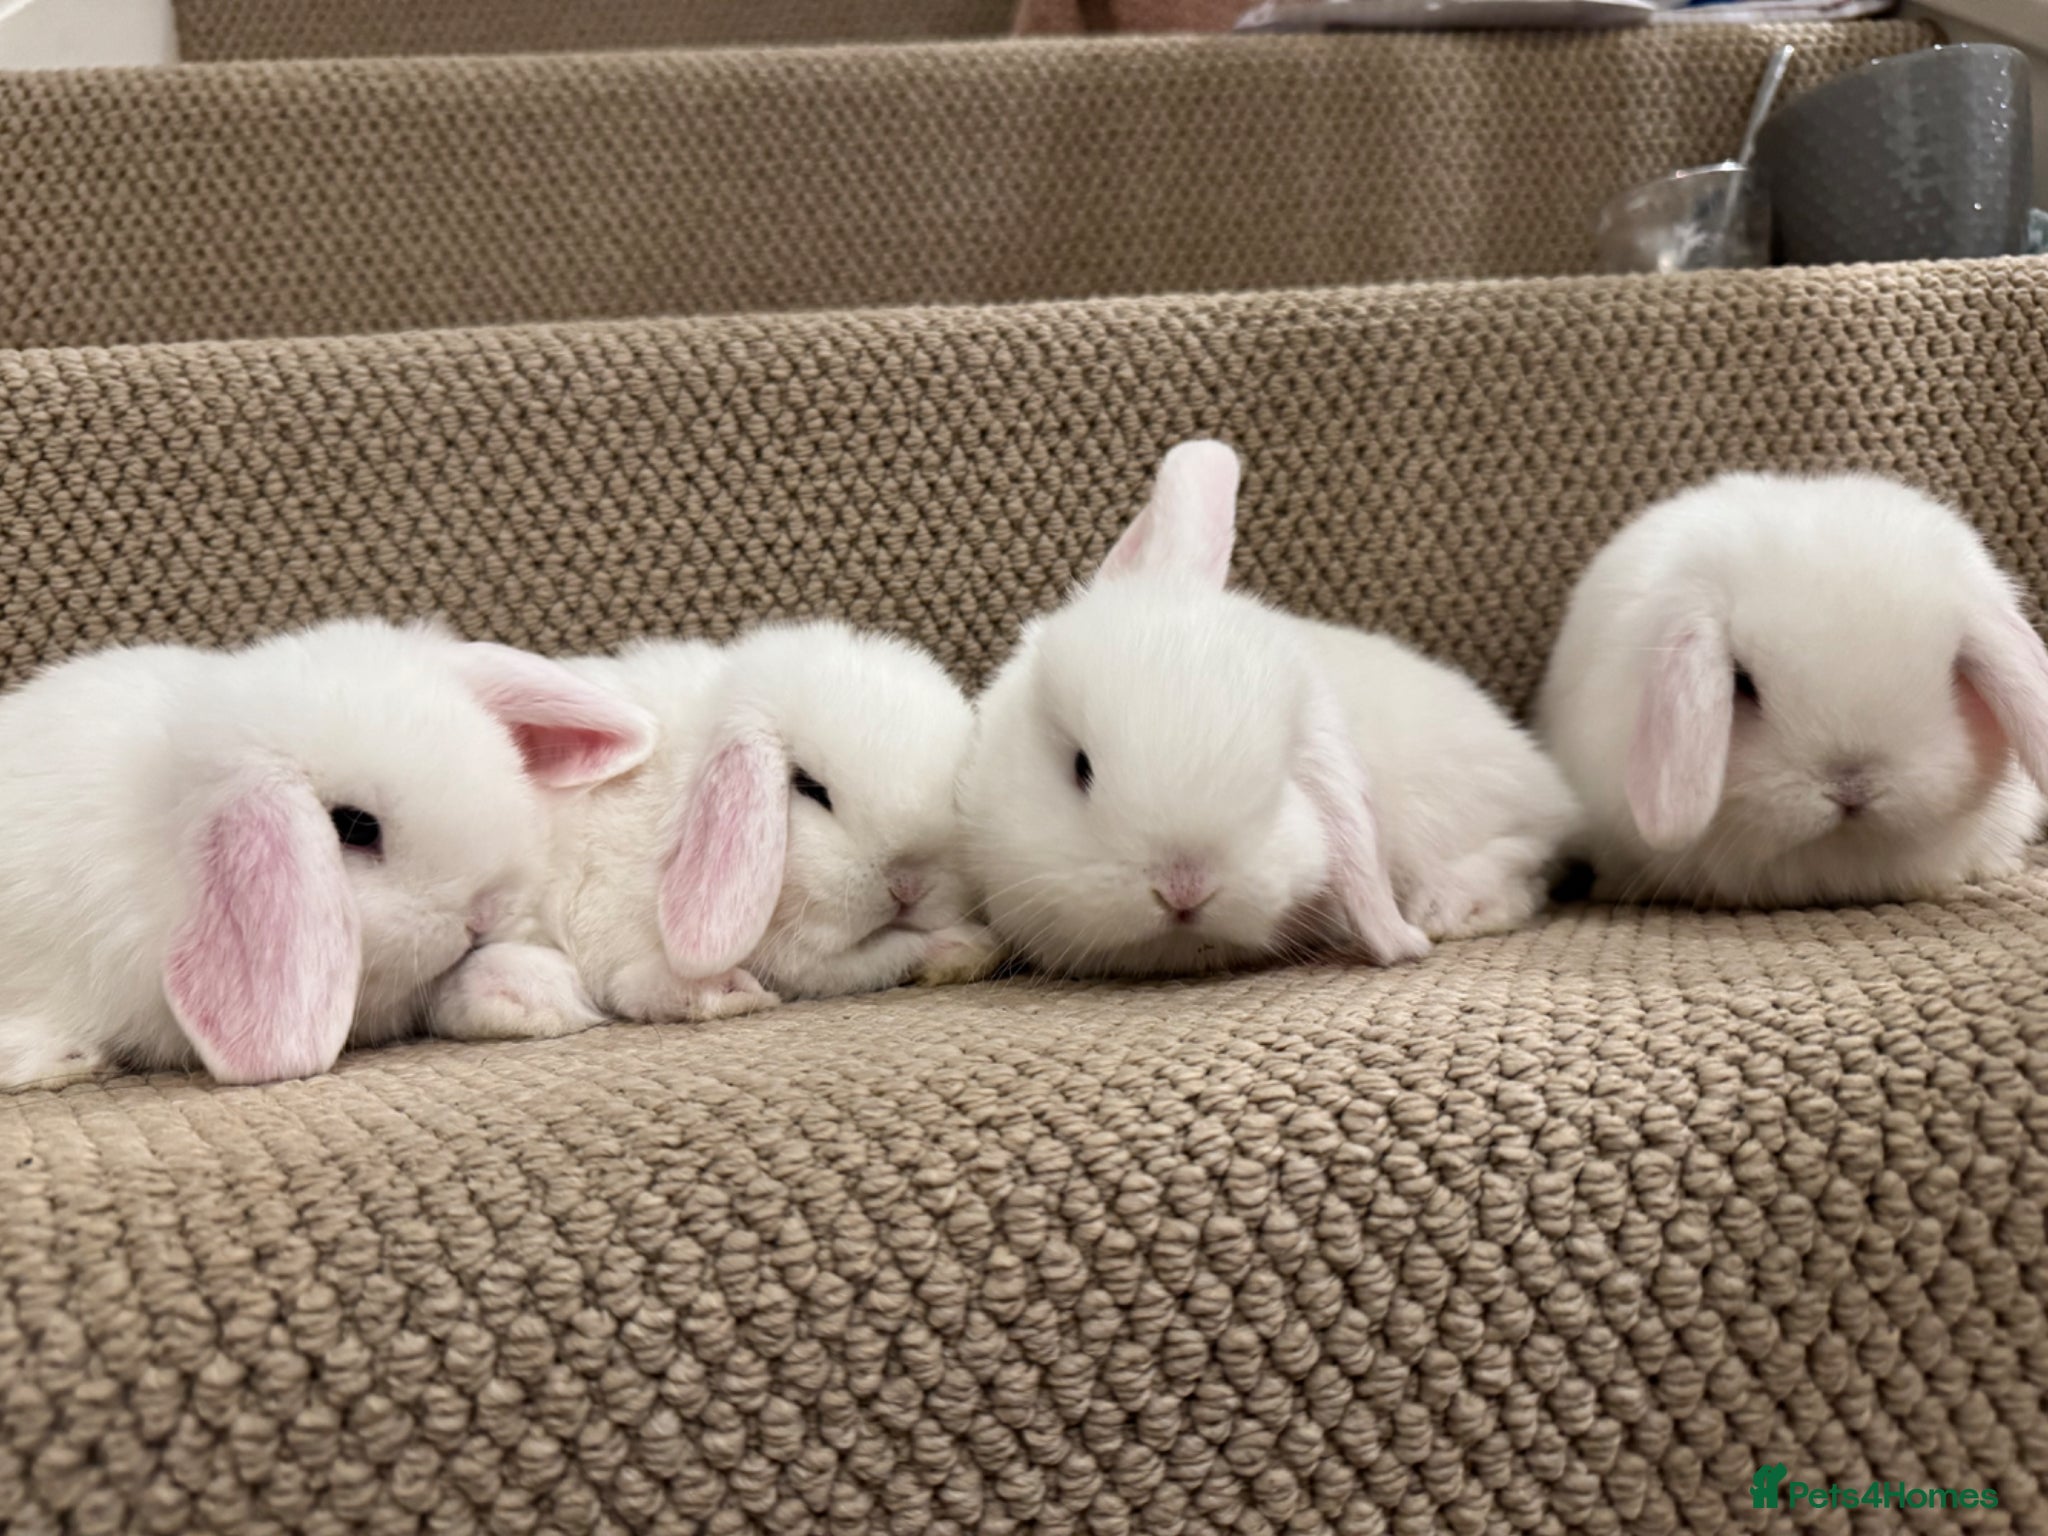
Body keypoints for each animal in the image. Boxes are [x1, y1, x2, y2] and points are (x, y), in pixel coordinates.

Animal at [958, 438, 1578, 980]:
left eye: (1282, 783)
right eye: (1080, 768)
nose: (1185, 888)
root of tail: (1545, 779)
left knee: (1529, 857)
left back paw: (1450, 908)